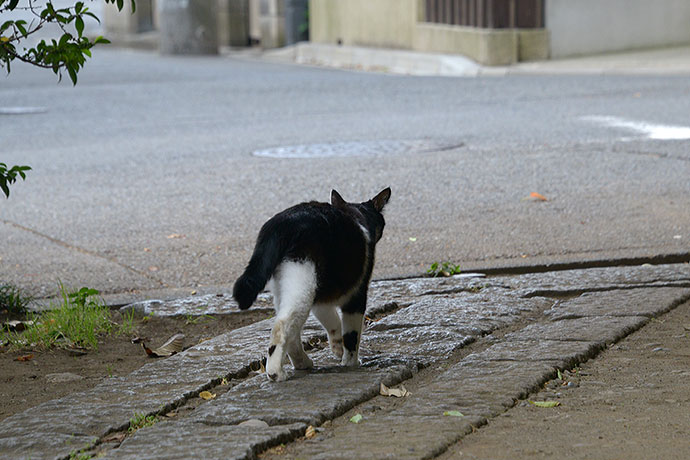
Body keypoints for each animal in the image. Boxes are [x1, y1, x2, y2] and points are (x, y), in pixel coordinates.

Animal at [232, 187, 390, 380]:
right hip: (303, 284)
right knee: (282, 326)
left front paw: (337, 347)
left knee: (291, 330)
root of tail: (281, 223)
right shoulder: (357, 295)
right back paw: (276, 372)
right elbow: (351, 336)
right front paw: (350, 362)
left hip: (290, 287)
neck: (357, 216)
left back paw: (302, 362)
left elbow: (332, 322)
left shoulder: (322, 298)